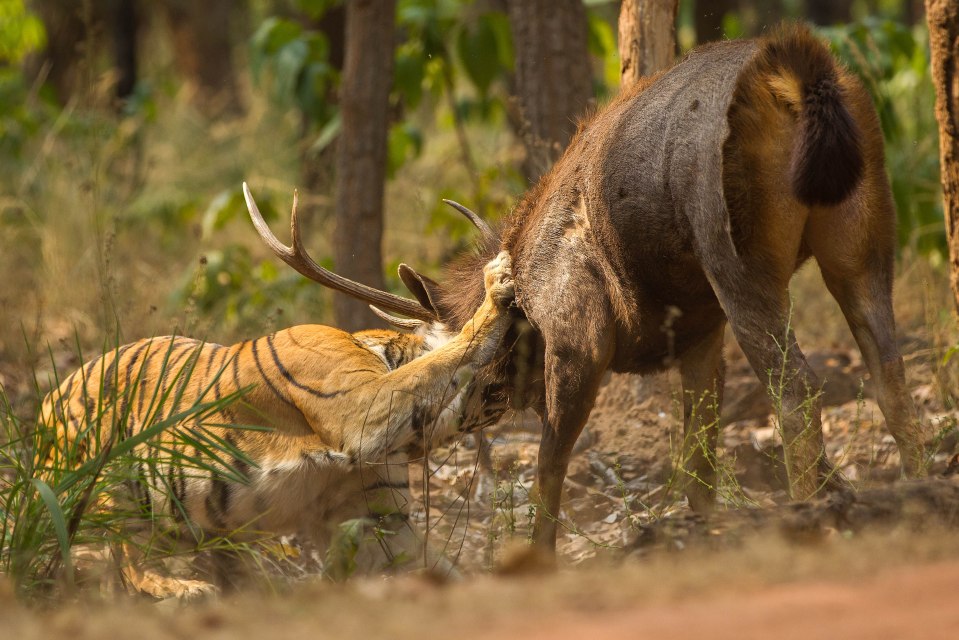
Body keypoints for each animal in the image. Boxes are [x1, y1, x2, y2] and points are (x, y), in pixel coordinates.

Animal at [35, 186, 516, 600]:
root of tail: (47, 401)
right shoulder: (362, 410)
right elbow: (445, 356)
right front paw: (496, 286)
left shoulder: (379, 519)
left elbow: (450, 572)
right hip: (106, 484)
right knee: (120, 559)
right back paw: (187, 589)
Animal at [286, 26, 928, 556]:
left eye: (465, 358)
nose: (443, 426)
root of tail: (798, 71)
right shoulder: (698, 330)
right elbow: (697, 457)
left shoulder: (580, 334)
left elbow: (550, 463)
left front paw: (538, 558)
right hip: (864, 236)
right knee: (889, 372)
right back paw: (917, 493)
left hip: (738, 258)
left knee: (797, 390)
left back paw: (813, 516)